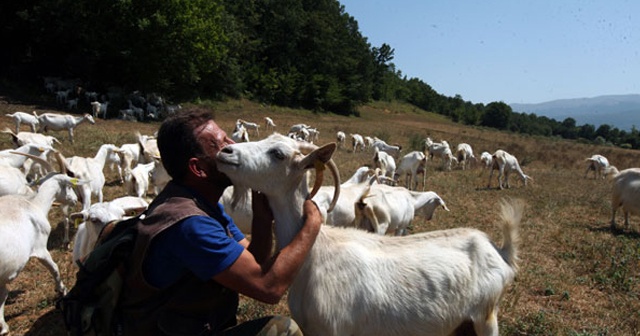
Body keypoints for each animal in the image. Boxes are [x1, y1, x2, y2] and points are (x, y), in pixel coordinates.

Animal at [0, 173, 82, 334]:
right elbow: (54, 268)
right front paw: (62, 289)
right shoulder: (41, 248)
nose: (76, 199)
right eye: (69, 186)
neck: (35, 204)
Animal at [215, 134, 524, 336]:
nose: (225, 152)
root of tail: (499, 250)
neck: (314, 254)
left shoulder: (334, 330)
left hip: (486, 318)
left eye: (278, 153)